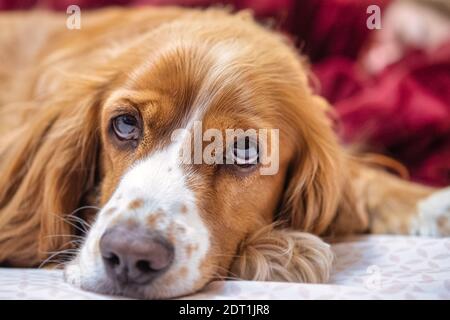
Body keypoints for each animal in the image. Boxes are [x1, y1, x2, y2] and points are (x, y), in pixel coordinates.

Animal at [0, 6, 448, 298]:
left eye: (243, 149)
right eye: (125, 124)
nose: (129, 256)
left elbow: (360, 181)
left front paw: (434, 204)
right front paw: (284, 251)